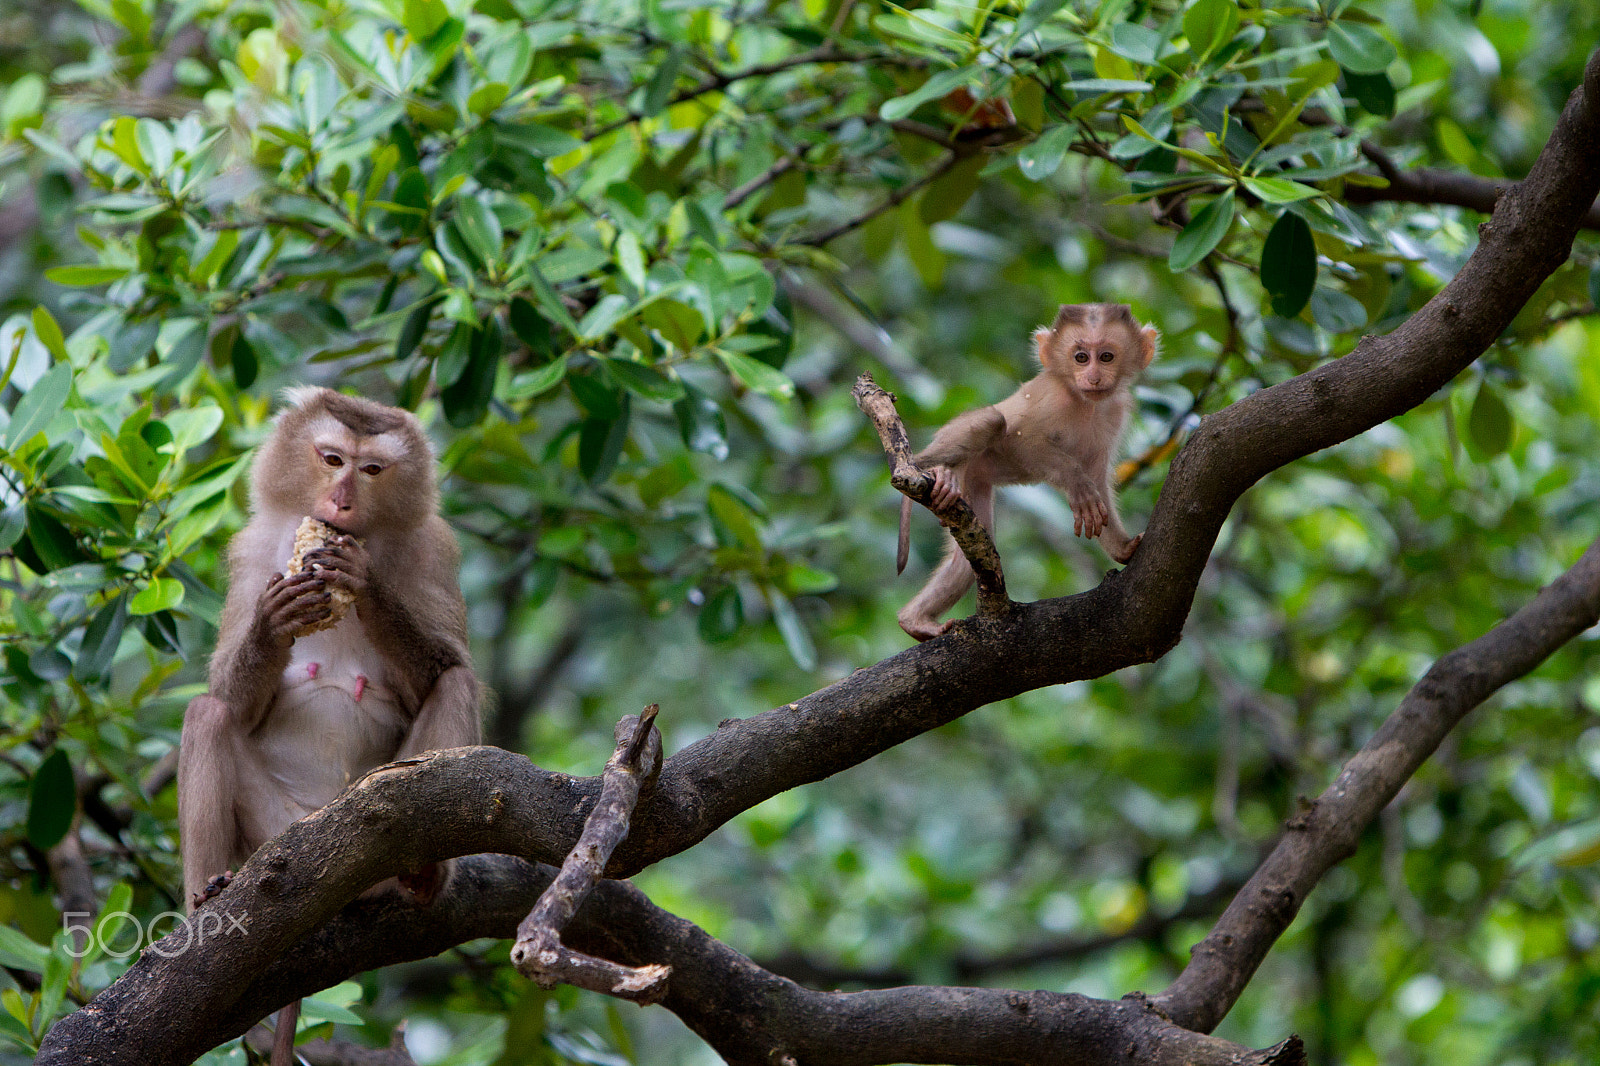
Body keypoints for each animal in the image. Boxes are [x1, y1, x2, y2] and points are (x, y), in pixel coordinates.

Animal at [177, 387, 480, 1066]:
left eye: (371, 470)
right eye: (331, 458)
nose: (340, 501)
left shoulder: (434, 551)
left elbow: (448, 667)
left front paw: (364, 586)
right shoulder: (254, 549)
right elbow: (233, 702)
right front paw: (271, 625)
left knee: (454, 687)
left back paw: (425, 874)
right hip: (272, 838)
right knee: (207, 715)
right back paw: (208, 897)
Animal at [896, 303, 1158, 641]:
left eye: (1106, 357)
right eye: (1081, 357)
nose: (1093, 377)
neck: (1085, 404)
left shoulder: (1114, 411)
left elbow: (1098, 477)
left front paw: (1122, 547)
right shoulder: (1053, 398)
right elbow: (1024, 441)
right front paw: (1078, 486)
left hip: (974, 483)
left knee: (966, 562)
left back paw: (914, 621)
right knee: (992, 421)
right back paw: (945, 473)